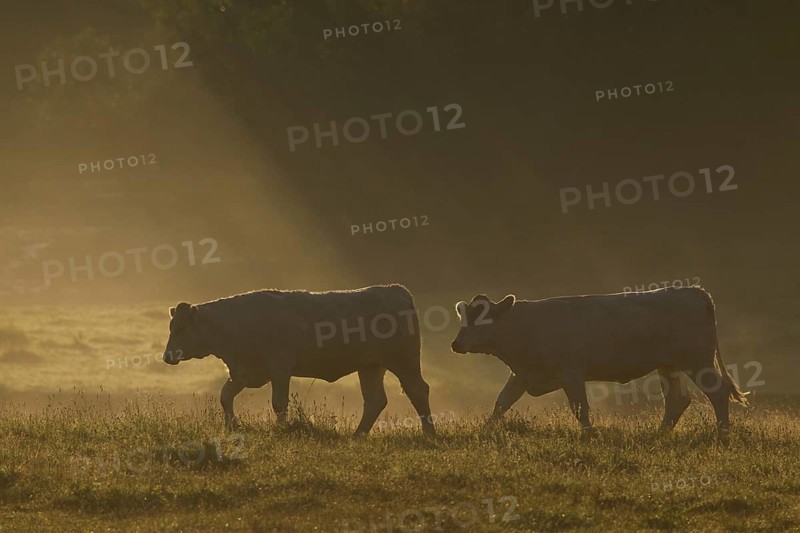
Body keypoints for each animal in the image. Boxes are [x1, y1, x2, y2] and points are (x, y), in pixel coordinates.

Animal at [162, 284, 435, 436]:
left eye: (182, 328)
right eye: (171, 327)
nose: (167, 356)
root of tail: (396, 290)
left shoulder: (280, 367)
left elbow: (279, 403)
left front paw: (281, 429)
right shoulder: (244, 372)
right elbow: (225, 396)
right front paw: (232, 426)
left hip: (404, 361)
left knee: (418, 390)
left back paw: (429, 433)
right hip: (370, 366)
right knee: (375, 401)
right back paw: (357, 435)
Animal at [450, 287, 748, 438]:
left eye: (483, 317)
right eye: (463, 318)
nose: (456, 344)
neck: (522, 326)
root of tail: (693, 291)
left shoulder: (571, 373)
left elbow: (580, 408)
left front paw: (590, 435)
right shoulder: (522, 374)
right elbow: (502, 402)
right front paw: (484, 430)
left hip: (697, 361)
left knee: (717, 392)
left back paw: (723, 433)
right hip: (669, 366)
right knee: (678, 399)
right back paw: (659, 434)